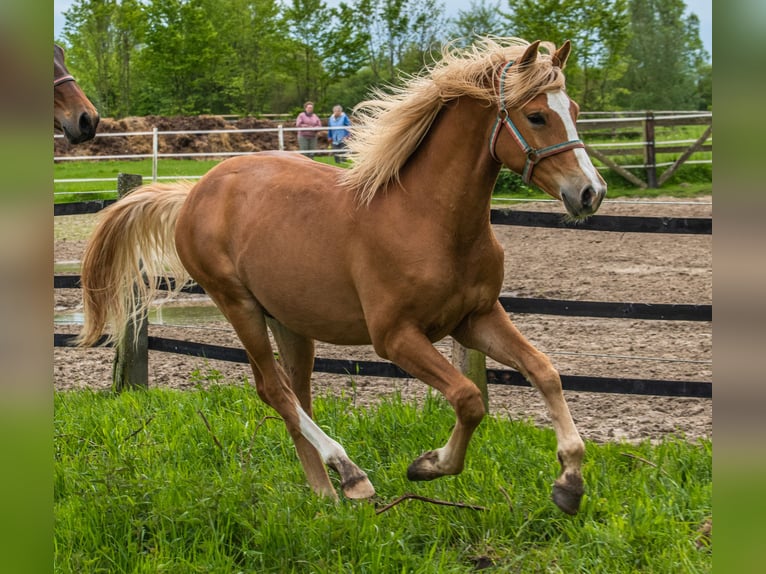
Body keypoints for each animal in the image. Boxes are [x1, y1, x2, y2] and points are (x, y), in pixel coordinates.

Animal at [76, 39, 608, 516]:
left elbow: (544, 371)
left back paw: (326, 493)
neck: (429, 219)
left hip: (290, 321)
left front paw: (569, 482)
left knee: (294, 393)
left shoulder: (475, 318)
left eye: (574, 109)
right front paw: (428, 466)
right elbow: (469, 397)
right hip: (238, 305)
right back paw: (350, 474)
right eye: (537, 115)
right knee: (275, 390)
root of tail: (193, 193)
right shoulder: (395, 338)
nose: (590, 192)